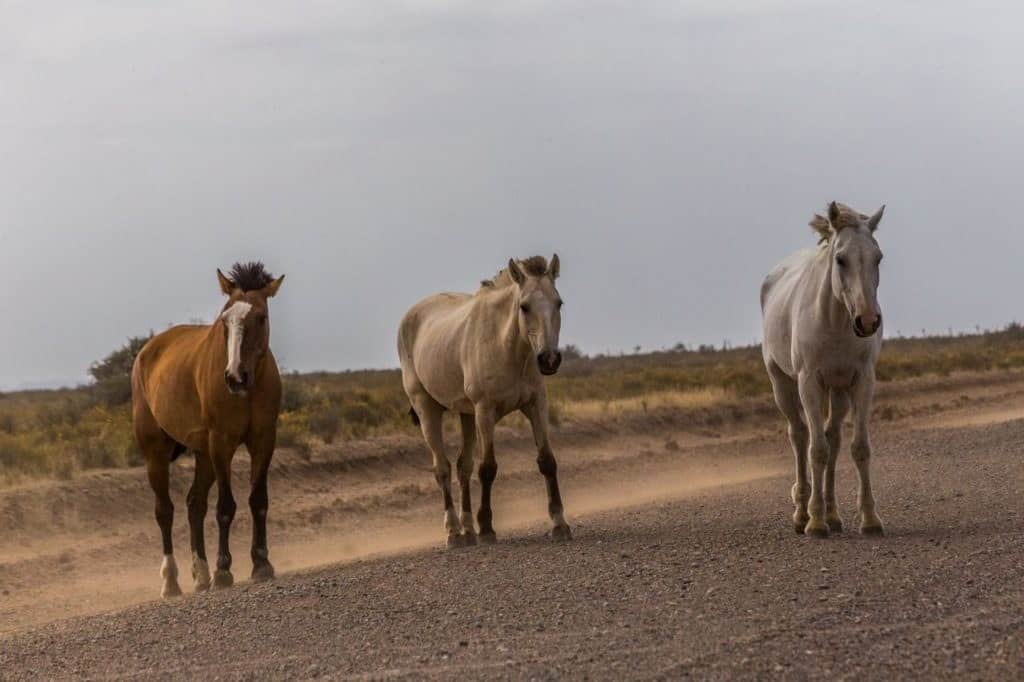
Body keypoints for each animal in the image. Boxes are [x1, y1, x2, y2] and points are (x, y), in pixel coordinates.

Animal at [131, 262, 285, 597]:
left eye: (261, 317)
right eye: (225, 319)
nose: (235, 377)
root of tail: (146, 352)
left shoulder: (263, 439)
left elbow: (258, 501)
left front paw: (262, 564)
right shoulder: (221, 442)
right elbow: (225, 506)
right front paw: (224, 570)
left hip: (203, 456)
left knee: (194, 505)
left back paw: (200, 575)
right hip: (157, 452)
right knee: (165, 510)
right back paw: (171, 581)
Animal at [398, 255, 572, 547]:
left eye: (559, 302)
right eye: (524, 306)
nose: (549, 359)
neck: (509, 348)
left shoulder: (536, 404)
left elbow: (547, 461)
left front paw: (560, 523)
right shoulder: (485, 412)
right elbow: (488, 468)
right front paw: (487, 527)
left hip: (466, 415)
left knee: (462, 467)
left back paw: (468, 530)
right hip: (428, 410)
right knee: (442, 468)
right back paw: (454, 531)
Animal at [761, 202, 887, 538]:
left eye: (878, 257)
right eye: (840, 259)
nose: (868, 321)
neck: (835, 320)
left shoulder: (862, 380)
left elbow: (859, 448)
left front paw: (870, 518)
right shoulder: (809, 383)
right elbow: (816, 450)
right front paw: (815, 522)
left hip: (839, 390)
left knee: (833, 439)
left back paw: (833, 514)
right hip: (783, 385)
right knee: (800, 435)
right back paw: (802, 512)